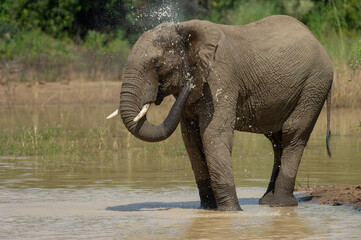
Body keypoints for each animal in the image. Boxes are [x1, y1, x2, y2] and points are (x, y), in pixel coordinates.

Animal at [107, 15, 332, 211]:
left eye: (158, 65)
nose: (187, 84)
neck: (186, 31)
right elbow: (191, 139)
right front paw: (207, 209)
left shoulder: (219, 77)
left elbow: (213, 134)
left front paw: (231, 211)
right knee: (277, 140)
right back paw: (267, 201)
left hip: (314, 86)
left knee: (293, 134)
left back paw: (280, 204)